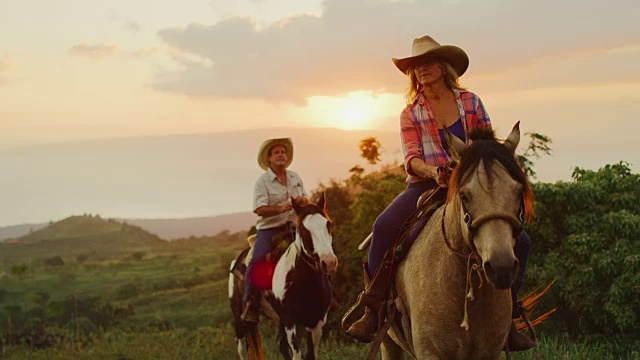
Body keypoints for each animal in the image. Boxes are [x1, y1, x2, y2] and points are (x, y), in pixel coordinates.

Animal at [228, 194, 338, 360]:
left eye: (328, 224)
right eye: (302, 228)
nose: (329, 262)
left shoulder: (317, 321)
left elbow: (311, 354)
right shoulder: (289, 321)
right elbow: (297, 354)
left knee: (280, 344)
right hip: (239, 317)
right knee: (242, 350)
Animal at [380, 122, 536, 358]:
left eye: (518, 192)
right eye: (464, 195)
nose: (501, 267)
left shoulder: (491, 353)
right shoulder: (429, 352)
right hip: (387, 342)